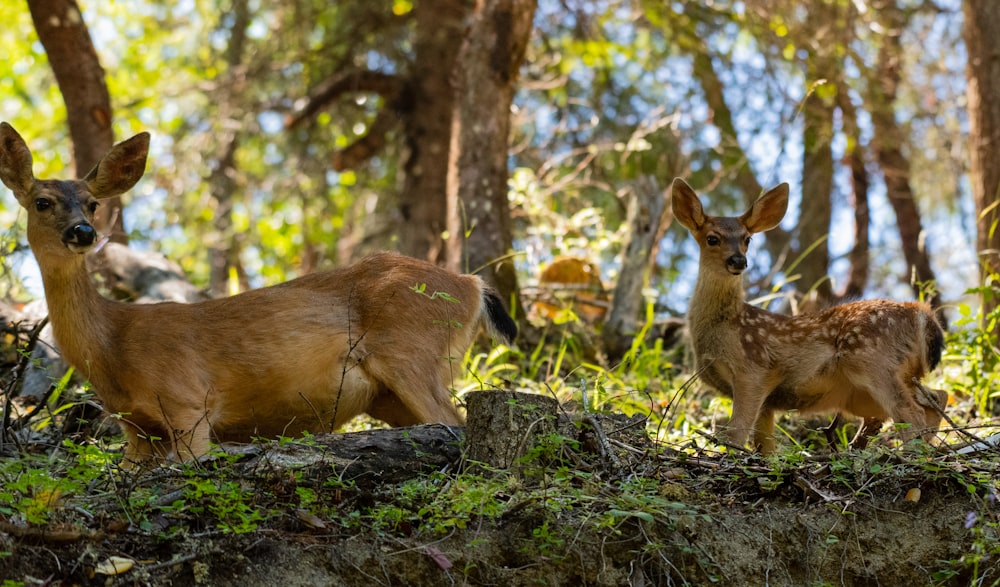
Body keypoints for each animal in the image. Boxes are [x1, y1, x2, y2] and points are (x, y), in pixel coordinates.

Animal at [0, 121, 516, 466]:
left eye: (91, 203)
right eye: (42, 202)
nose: (83, 232)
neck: (113, 347)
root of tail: (471, 284)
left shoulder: (189, 402)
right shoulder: (136, 429)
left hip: (413, 351)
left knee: (456, 422)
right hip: (389, 395)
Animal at [672, 178, 944, 454]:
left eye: (747, 239)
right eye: (712, 239)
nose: (738, 260)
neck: (726, 326)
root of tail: (920, 313)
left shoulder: (752, 369)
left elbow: (735, 434)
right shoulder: (767, 400)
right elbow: (765, 446)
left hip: (872, 358)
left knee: (912, 413)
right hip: (888, 380)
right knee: (936, 397)